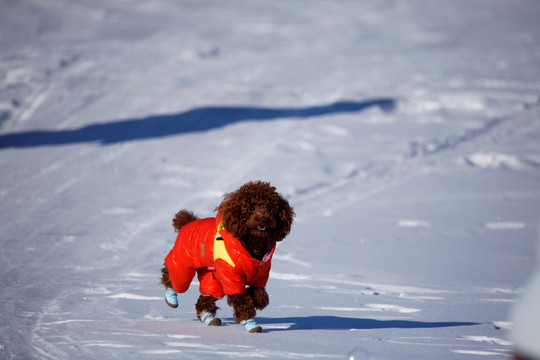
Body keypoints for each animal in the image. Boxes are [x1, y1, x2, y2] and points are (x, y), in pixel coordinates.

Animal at [160, 181, 296, 334]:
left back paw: (208, 317)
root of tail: (187, 223)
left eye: (270, 208)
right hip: (183, 262)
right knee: (173, 277)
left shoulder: (260, 275)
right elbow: (243, 302)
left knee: (205, 297)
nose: (264, 219)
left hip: (211, 275)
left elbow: (261, 297)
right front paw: (250, 324)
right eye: (252, 208)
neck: (252, 245)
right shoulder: (231, 277)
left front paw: (255, 299)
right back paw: (171, 298)